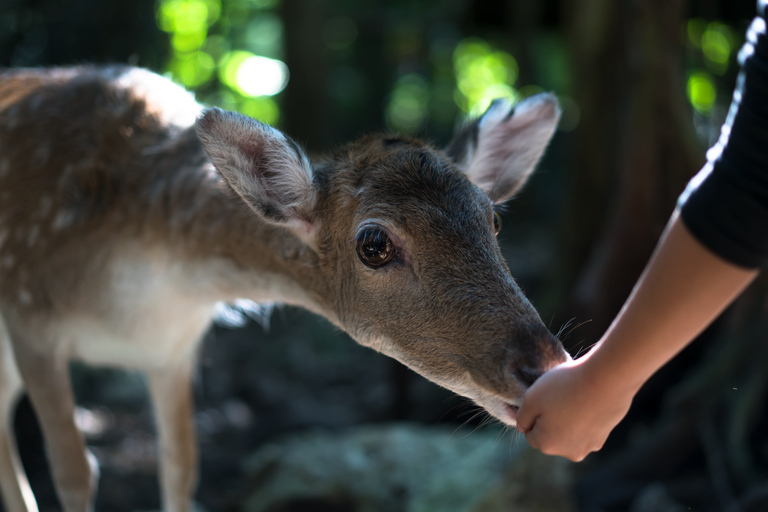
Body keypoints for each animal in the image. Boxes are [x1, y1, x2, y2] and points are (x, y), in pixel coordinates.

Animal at [0, 65, 568, 512]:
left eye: (493, 218)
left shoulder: (173, 350)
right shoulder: (31, 320)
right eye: (374, 245)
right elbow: (75, 472)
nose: (544, 365)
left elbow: (182, 468)